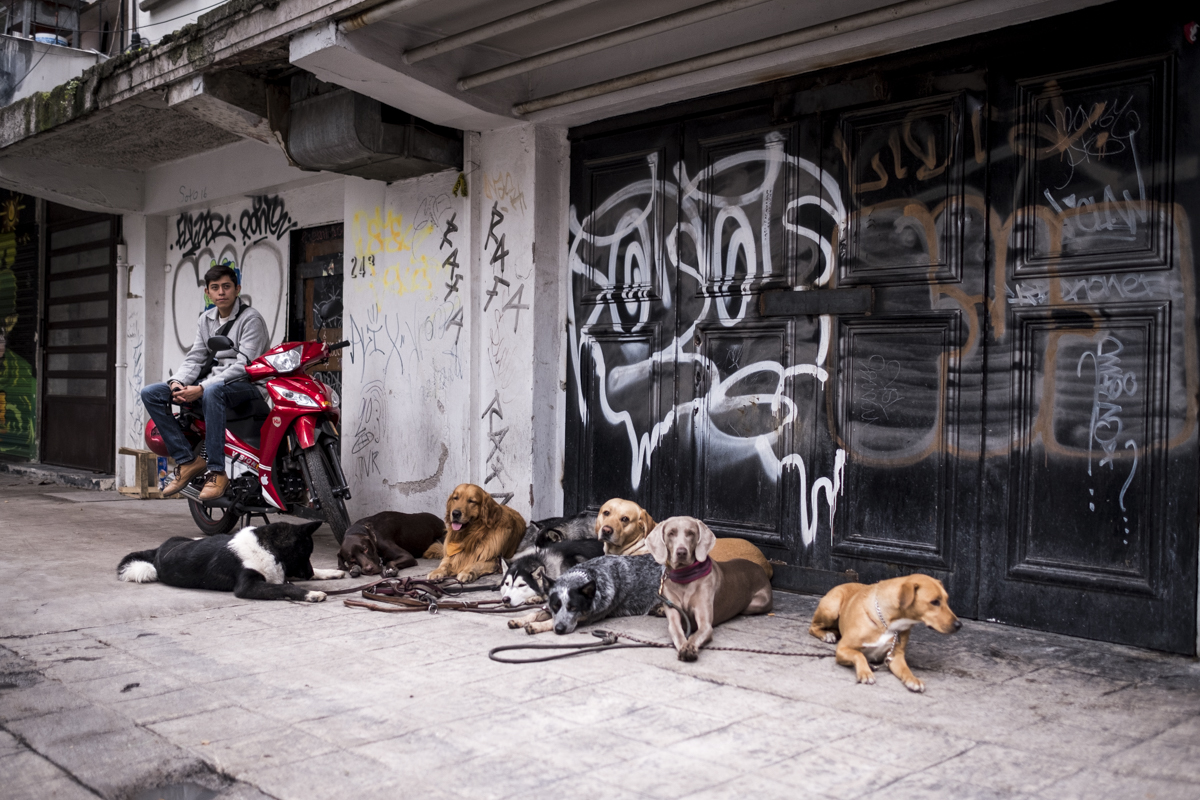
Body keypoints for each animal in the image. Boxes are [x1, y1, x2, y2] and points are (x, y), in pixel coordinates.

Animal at [117, 520, 345, 599]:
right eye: (306, 553)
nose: (309, 573)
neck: (268, 547)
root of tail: (157, 550)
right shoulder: (248, 586)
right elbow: (284, 587)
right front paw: (311, 593)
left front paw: (330, 572)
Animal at [508, 554, 667, 633]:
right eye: (555, 606)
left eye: (574, 608)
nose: (560, 630)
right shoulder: (549, 607)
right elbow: (534, 614)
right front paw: (520, 620)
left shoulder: (586, 617)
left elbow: (550, 621)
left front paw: (536, 626)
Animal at [643, 515, 772, 662]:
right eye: (671, 533)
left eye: (691, 533)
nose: (681, 552)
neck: (684, 577)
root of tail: (761, 568)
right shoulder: (674, 616)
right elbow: (677, 632)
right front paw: (683, 645)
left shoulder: (705, 623)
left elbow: (696, 634)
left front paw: (689, 647)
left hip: (757, 604)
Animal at [806, 575, 964, 695]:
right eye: (934, 602)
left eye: (946, 600)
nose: (959, 625)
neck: (887, 624)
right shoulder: (843, 649)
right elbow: (859, 655)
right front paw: (865, 672)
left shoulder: (895, 657)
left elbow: (906, 669)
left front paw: (912, 679)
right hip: (831, 609)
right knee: (813, 627)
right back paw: (826, 635)